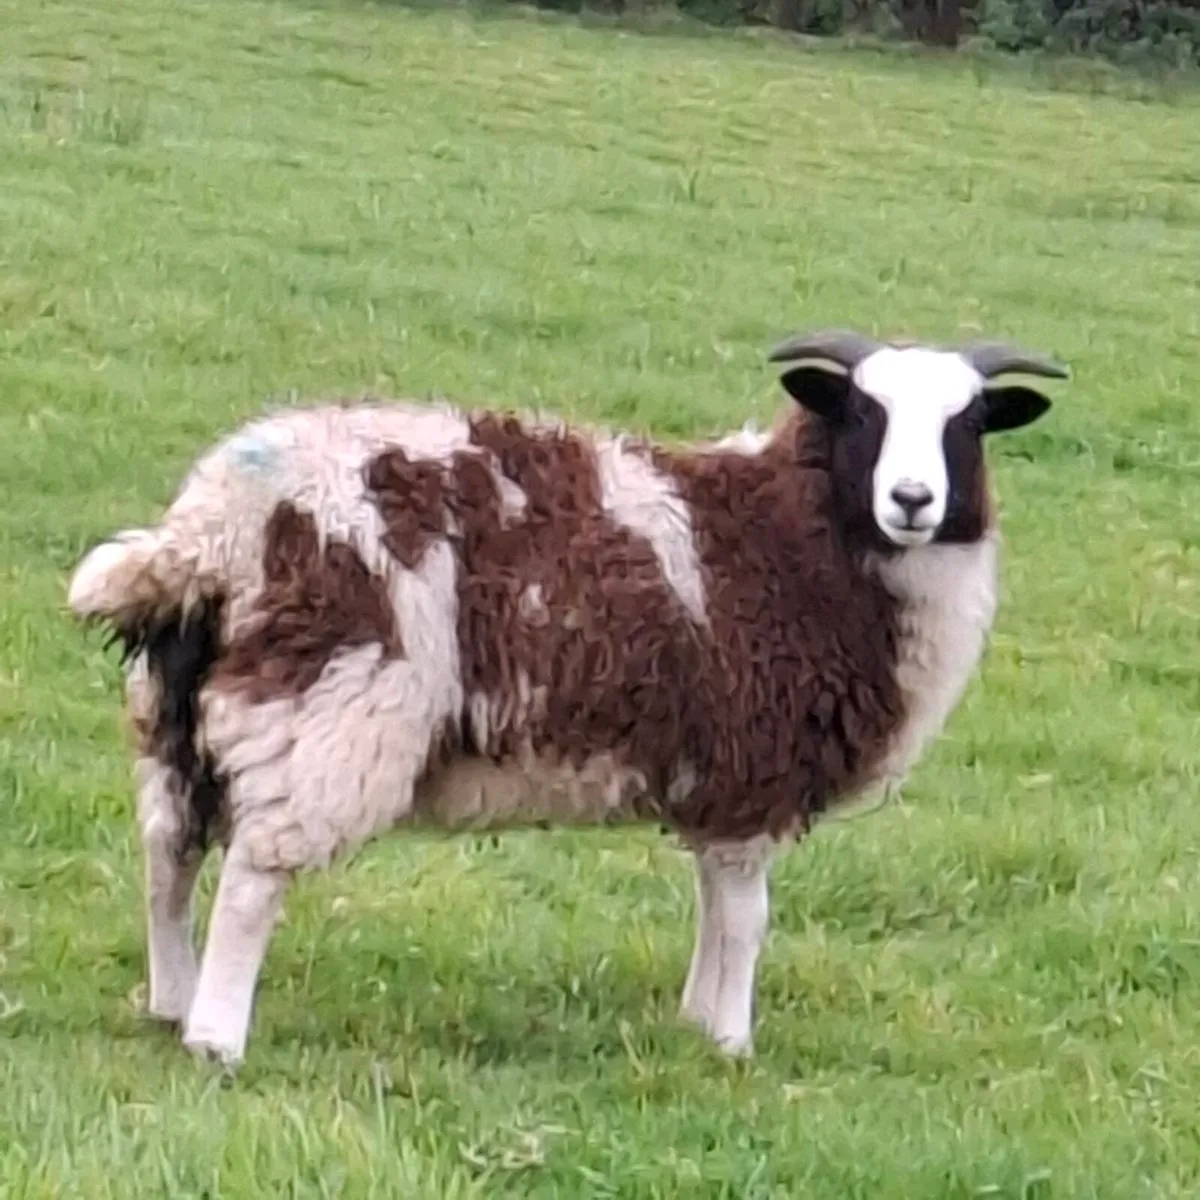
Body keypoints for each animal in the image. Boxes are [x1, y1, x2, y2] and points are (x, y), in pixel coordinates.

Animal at [66, 329, 1068, 1067]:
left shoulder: (716, 784)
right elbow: (749, 920)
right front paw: (733, 1044)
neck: (795, 534)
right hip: (332, 709)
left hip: (174, 716)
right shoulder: (753, 771)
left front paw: (695, 1025)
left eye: (969, 423)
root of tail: (215, 525)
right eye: (864, 411)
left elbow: (713, 908)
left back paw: (169, 1003)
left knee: (167, 858)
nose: (914, 500)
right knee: (250, 880)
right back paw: (215, 1040)